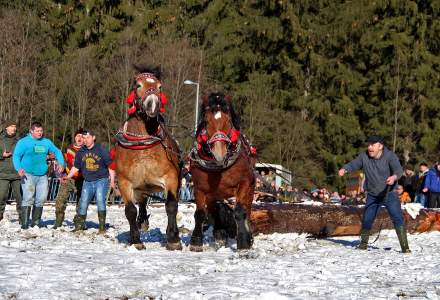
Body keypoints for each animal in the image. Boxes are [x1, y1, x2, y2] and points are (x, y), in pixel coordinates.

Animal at [115, 65, 182, 251]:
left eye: (159, 86)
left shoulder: (171, 178)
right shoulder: (124, 182)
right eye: (138, 85)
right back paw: (142, 222)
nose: (153, 105)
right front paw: (135, 239)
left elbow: (171, 205)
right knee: (142, 203)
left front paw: (173, 239)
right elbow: (130, 210)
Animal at [188, 92, 254, 251]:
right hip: (212, 194)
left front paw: (243, 241)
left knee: (247, 209)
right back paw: (219, 234)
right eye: (206, 121)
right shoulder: (199, 188)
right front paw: (196, 241)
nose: (219, 152)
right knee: (213, 210)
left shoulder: (244, 183)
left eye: (228, 120)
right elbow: (200, 213)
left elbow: (240, 211)